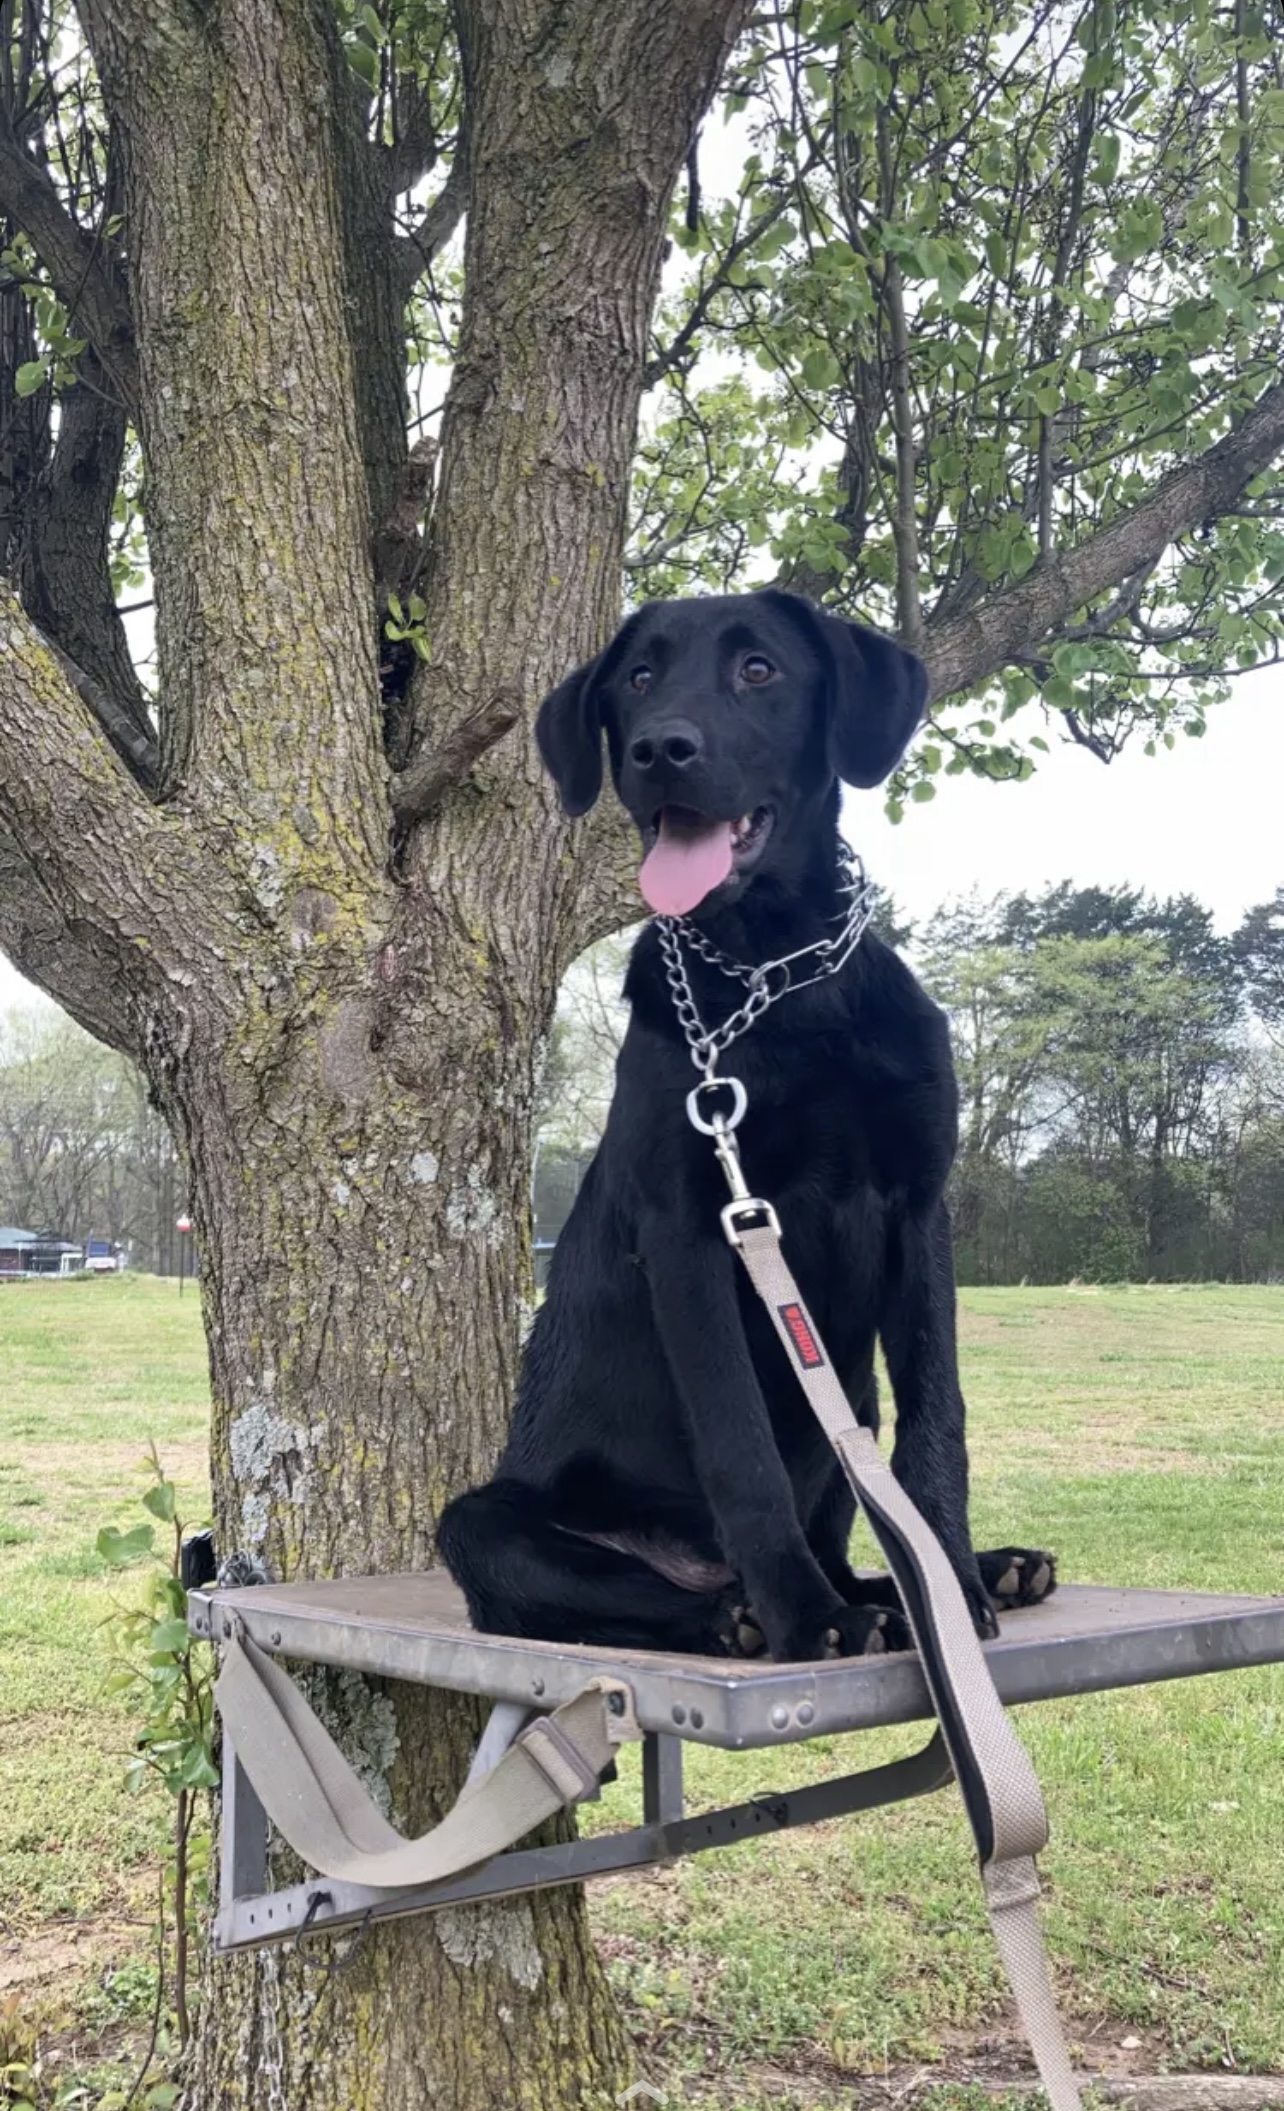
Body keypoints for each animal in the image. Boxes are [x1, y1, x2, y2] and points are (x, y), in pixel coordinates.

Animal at [441, 586, 1051, 1655]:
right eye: (638, 678)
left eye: (758, 669)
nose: (661, 749)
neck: (777, 979)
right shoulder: (690, 1231)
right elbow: (741, 1445)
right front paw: (809, 1618)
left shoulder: (919, 1206)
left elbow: (938, 1421)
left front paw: (954, 1589)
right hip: (483, 1521)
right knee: (636, 1588)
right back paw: (748, 1614)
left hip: (849, 1409)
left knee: (860, 1534)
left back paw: (971, 1573)